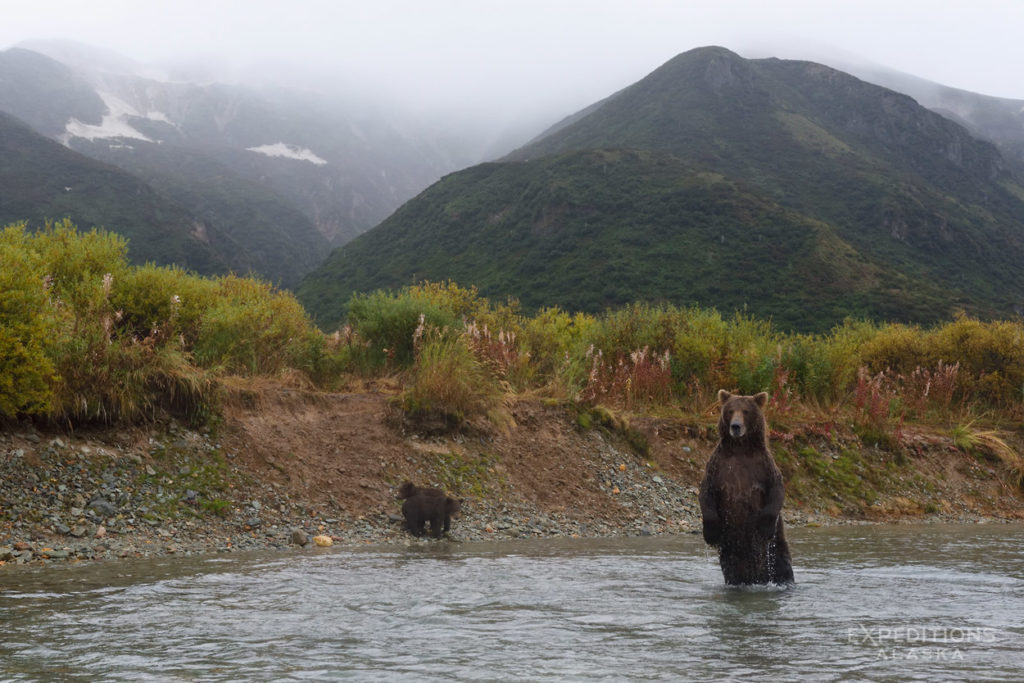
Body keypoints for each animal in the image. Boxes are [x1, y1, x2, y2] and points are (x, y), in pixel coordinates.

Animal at [700, 389, 794, 589]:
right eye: (730, 411)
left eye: (746, 411)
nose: (735, 426)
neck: (740, 448)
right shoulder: (717, 468)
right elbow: (706, 493)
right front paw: (710, 533)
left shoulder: (764, 467)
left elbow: (777, 490)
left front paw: (764, 526)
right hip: (730, 552)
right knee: (733, 569)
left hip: (777, 551)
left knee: (782, 565)